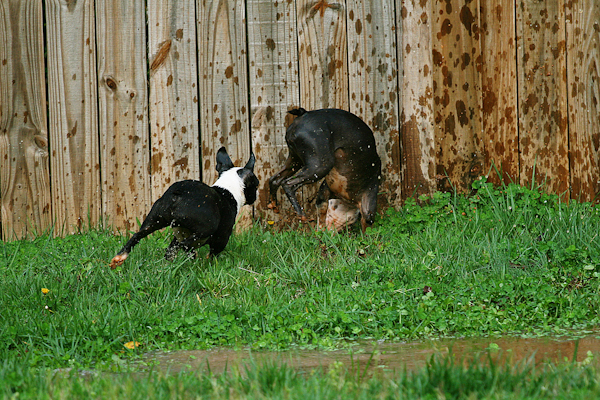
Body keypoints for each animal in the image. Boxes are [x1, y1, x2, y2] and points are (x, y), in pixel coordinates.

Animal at [109, 147, 258, 268]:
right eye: (256, 185)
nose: (255, 195)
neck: (227, 189)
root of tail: (180, 193)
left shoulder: (178, 235)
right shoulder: (222, 238)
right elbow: (213, 254)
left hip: (155, 219)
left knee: (139, 236)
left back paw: (120, 257)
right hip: (205, 228)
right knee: (184, 245)